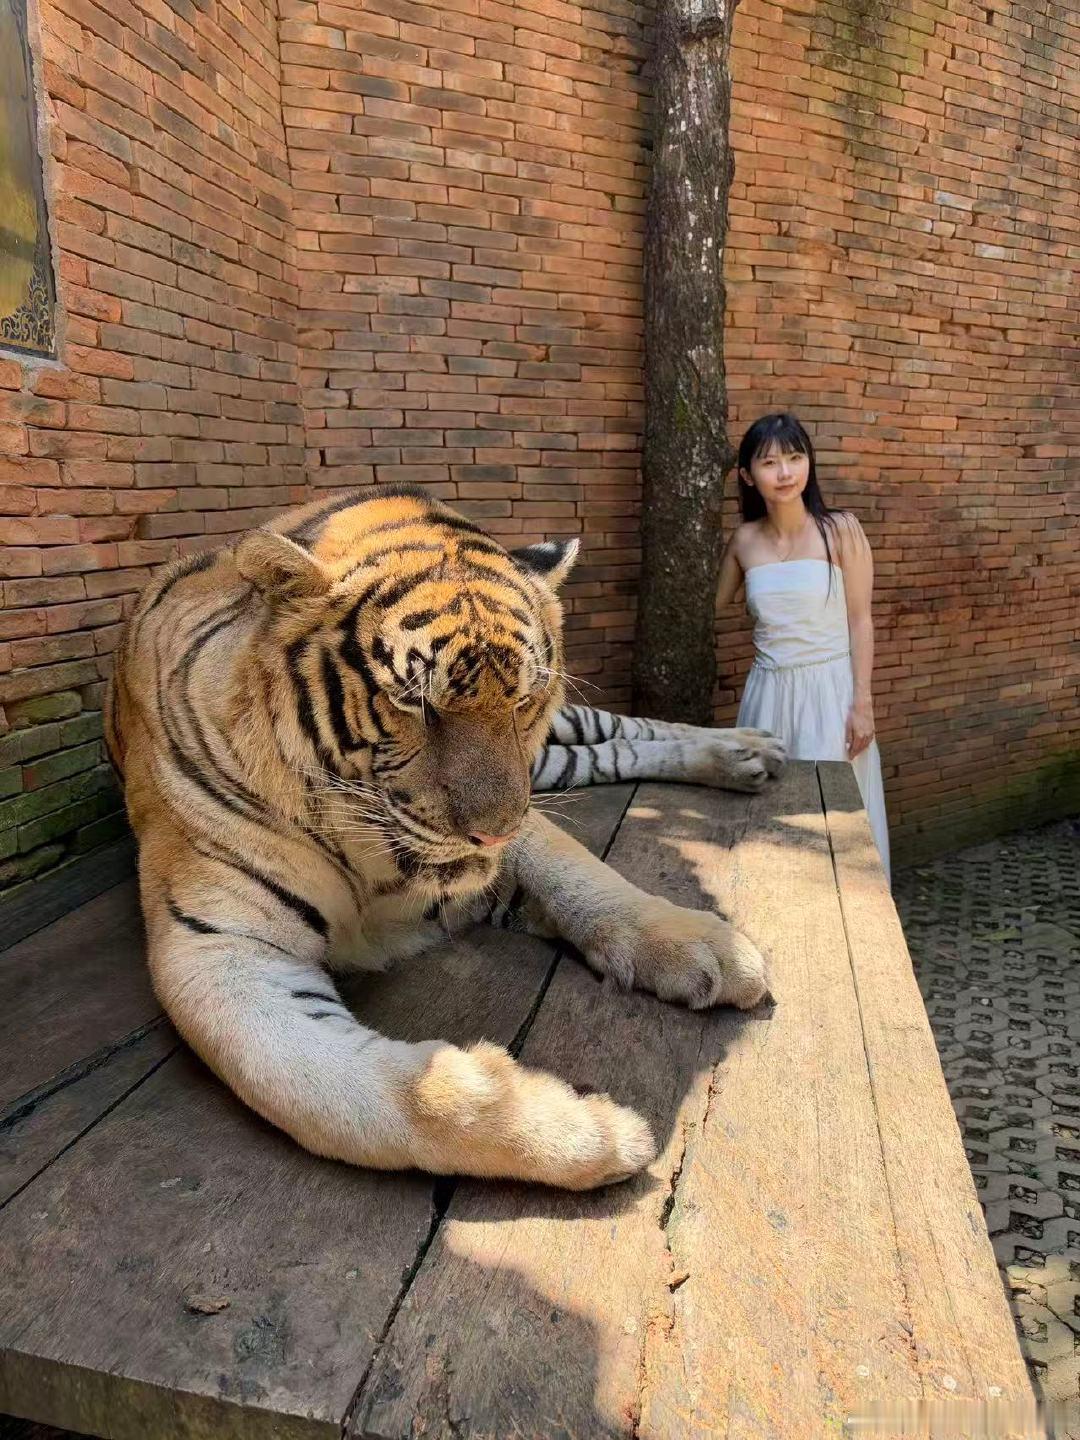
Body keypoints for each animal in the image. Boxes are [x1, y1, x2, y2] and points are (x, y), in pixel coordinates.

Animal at [105, 486, 783, 1191]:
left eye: (524, 701)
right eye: (415, 704)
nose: (492, 833)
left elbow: (582, 874)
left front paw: (706, 944)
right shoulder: (221, 948)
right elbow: (378, 1101)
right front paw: (594, 1133)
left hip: (562, 741)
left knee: (626, 728)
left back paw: (748, 749)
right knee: (611, 752)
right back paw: (748, 757)